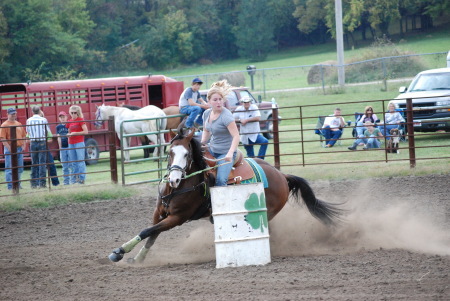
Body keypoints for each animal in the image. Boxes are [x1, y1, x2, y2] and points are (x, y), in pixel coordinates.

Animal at [108, 123, 342, 262]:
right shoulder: (159, 214)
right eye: (170, 152)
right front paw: (137, 257)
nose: (174, 179)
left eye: (187, 155)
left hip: (269, 211)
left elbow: (148, 230)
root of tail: (282, 176)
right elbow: (152, 233)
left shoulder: (177, 218)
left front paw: (120, 252)